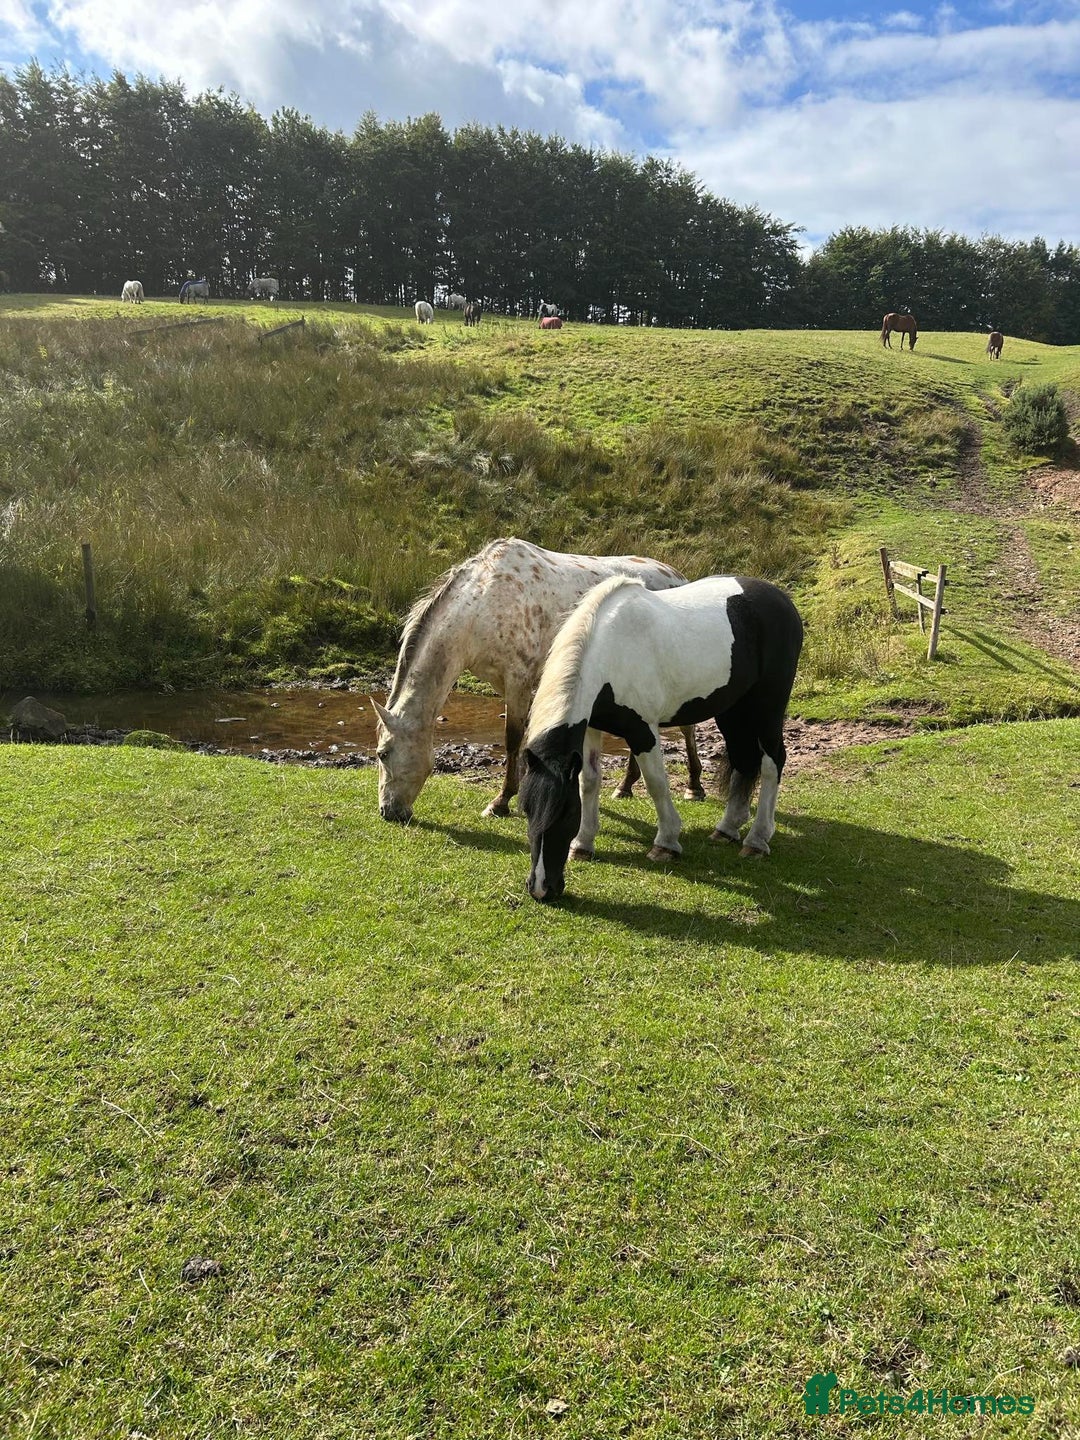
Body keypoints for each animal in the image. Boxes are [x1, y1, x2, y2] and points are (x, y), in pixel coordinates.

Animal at [371, 539, 705, 825]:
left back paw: (694, 786)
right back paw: (625, 787)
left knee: (687, 727)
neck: (483, 604)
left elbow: (513, 738)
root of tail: (678, 576)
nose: (389, 812)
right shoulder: (503, 681)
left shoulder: (518, 678)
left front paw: (501, 802)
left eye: (382, 754)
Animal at [520, 574, 803, 902]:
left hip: (768, 706)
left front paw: (666, 843)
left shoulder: (643, 731)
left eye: (565, 814)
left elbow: (656, 783)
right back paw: (727, 829)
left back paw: (757, 840)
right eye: (526, 809)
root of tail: (781, 599)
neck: (612, 652)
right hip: (733, 709)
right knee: (744, 760)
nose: (541, 888)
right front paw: (583, 844)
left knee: (772, 763)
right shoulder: (591, 728)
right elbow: (589, 781)